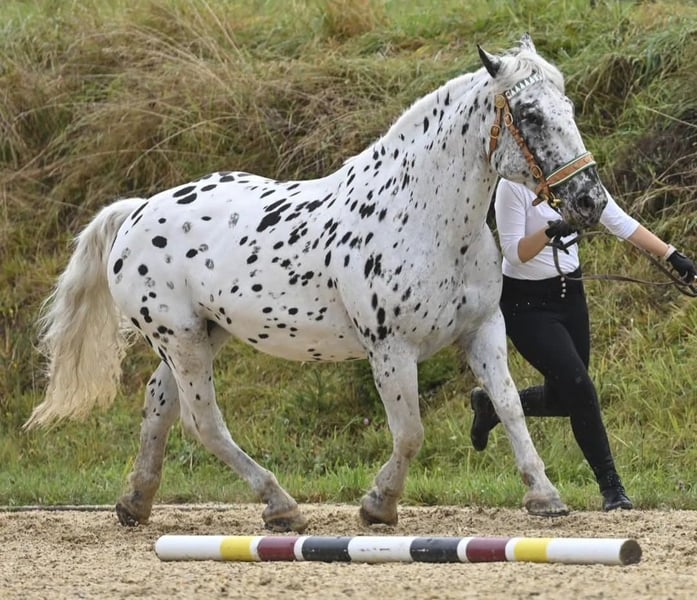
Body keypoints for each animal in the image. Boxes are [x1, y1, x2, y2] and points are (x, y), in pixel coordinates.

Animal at [25, 34, 608, 532]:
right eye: (530, 114)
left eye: (569, 107)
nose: (589, 201)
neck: (423, 218)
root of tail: (138, 210)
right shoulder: (391, 350)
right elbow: (411, 432)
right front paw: (378, 506)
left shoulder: (483, 330)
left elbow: (508, 405)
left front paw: (544, 496)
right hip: (181, 338)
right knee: (203, 422)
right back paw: (280, 506)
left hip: (200, 335)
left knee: (160, 404)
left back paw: (135, 503)